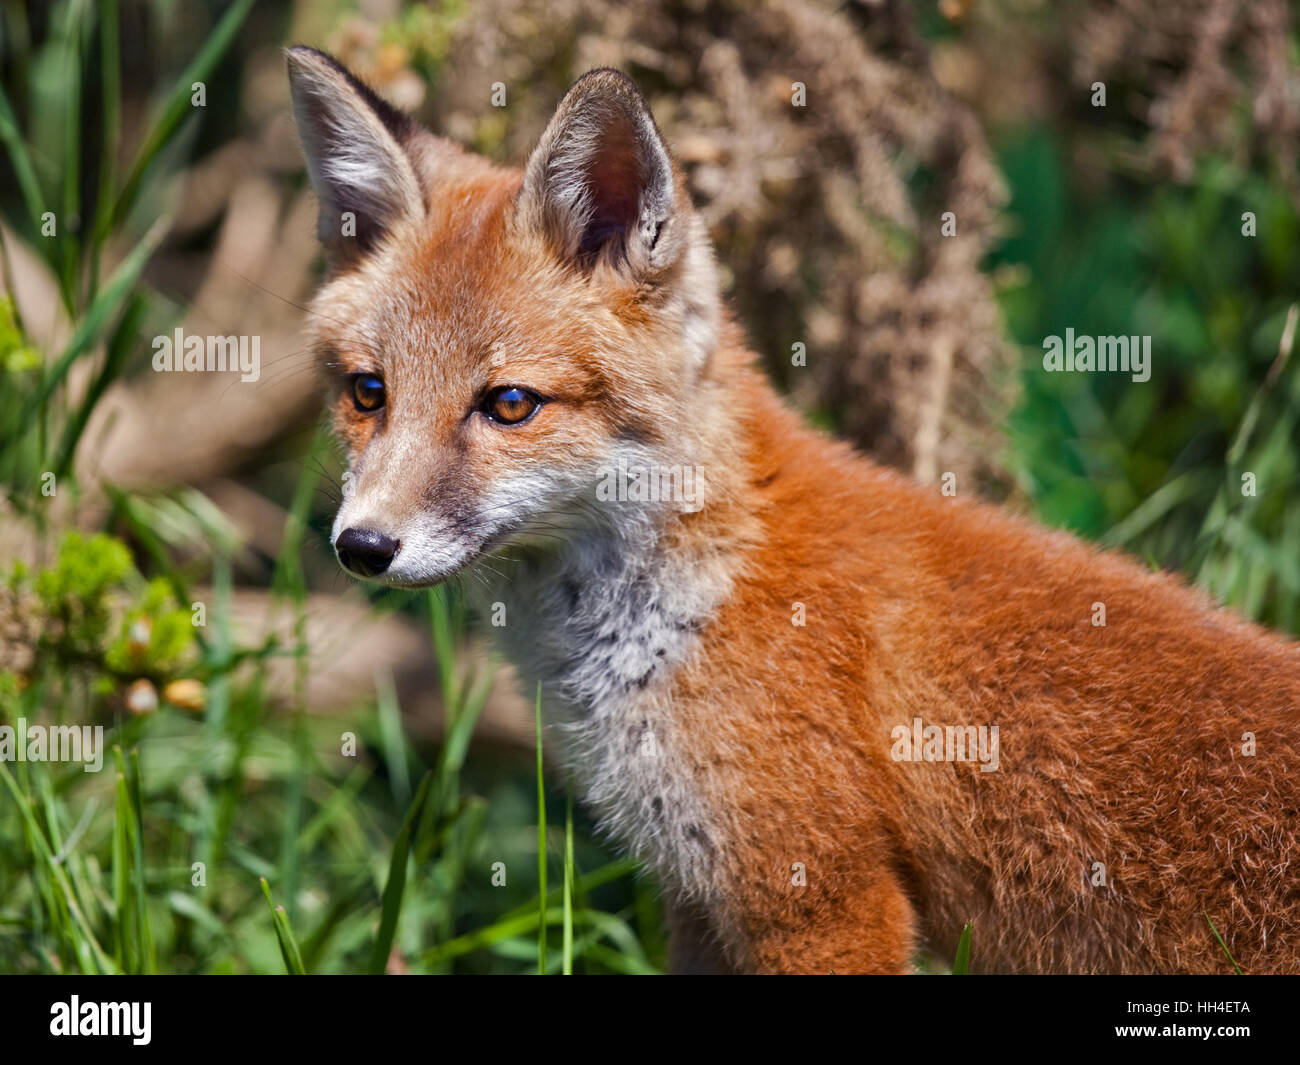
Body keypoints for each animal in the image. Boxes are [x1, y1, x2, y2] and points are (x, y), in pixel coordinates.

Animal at [285, 46, 1300, 974]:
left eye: (508, 404)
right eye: (369, 393)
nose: (362, 546)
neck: (701, 593)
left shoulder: (818, 893)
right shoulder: (700, 891)